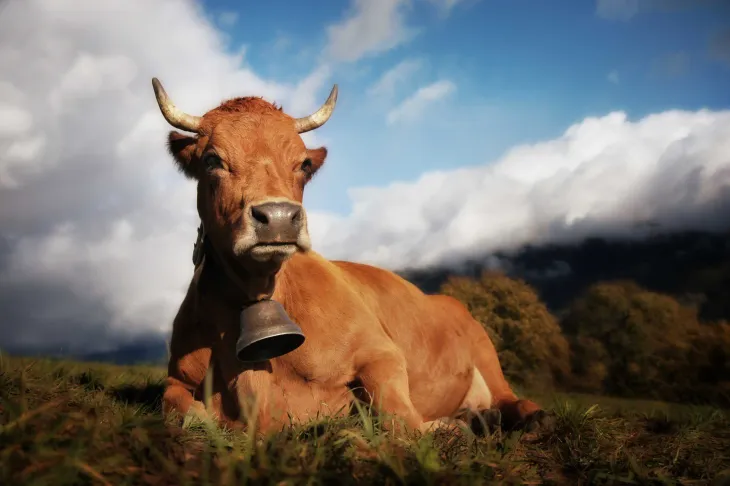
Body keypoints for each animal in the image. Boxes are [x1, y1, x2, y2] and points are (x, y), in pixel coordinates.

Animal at [152, 77, 552, 437]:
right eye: (212, 159)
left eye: (303, 164)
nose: (278, 217)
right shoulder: (175, 378)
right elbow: (184, 412)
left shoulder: (381, 353)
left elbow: (400, 421)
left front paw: (448, 427)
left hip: (485, 349)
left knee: (508, 397)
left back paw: (524, 418)